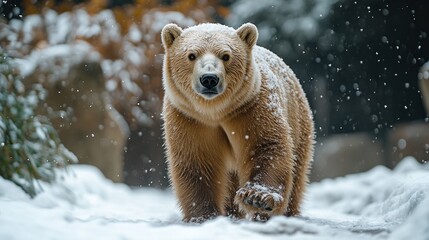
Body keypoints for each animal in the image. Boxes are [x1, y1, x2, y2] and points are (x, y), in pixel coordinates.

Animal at [160, 22, 314, 223]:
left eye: (226, 55)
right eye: (191, 55)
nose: (209, 79)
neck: (216, 112)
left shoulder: (251, 108)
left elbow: (266, 145)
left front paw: (257, 197)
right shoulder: (189, 118)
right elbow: (197, 161)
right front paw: (203, 216)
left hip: (299, 121)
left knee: (297, 173)